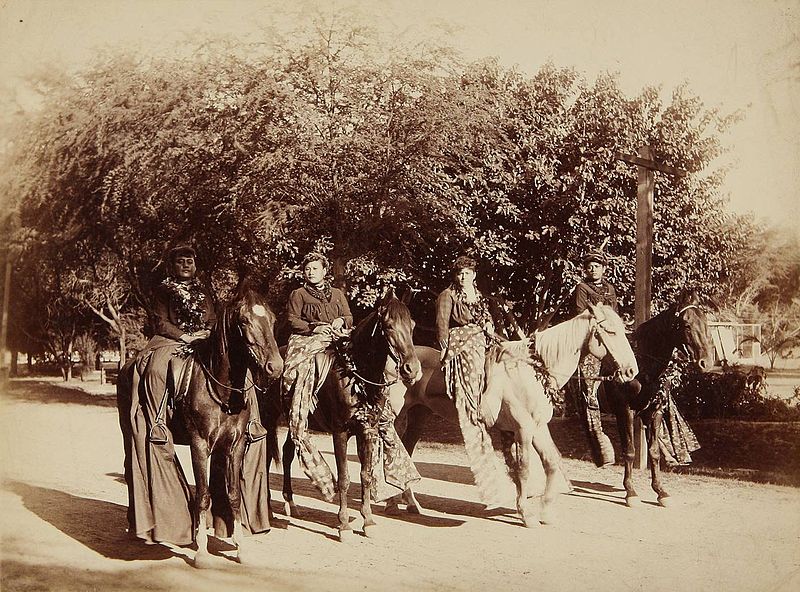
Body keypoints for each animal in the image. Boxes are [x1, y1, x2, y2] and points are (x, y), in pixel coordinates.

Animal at [117, 284, 282, 568]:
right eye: (244, 321)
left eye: (271, 320)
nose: (276, 367)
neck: (220, 390)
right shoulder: (200, 445)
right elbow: (203, 495)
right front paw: (202, 551)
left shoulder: (234, 446)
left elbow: (233, 495)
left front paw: (240, 548)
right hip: (128, 434)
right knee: (130, 470)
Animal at [262, 290, 424, 540]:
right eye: (388, 326)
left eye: (412, 325)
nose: (412, 369)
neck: (356, 374)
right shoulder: (340, 433)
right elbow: (344, 478)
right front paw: (344, 525)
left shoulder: (367, 431)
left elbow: (366, 475)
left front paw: (368, 521)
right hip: (270, 417)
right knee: (267, 456)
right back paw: (269, 509)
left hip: (296, 421)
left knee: (288, 453)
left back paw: (292, 504)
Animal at [384, 302, 640, 524]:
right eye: (611, 332)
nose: (631, 371)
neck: (533, 371)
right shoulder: (523, 429)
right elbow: (524, 468)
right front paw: (526, 514)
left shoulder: (539, 428)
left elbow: (551, 463)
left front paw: (546, 511)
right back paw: (392, 503)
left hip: (419, 416)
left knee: (406, 450)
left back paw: (410, 503)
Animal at [604, 290, 708, 506]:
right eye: (686, 324)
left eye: (705, 322)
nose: (705, 361)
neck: (642, 366)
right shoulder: (625, 411)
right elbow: (629, 451)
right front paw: (631, 492)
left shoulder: (655, 411)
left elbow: (653, 452)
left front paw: (660, 491)